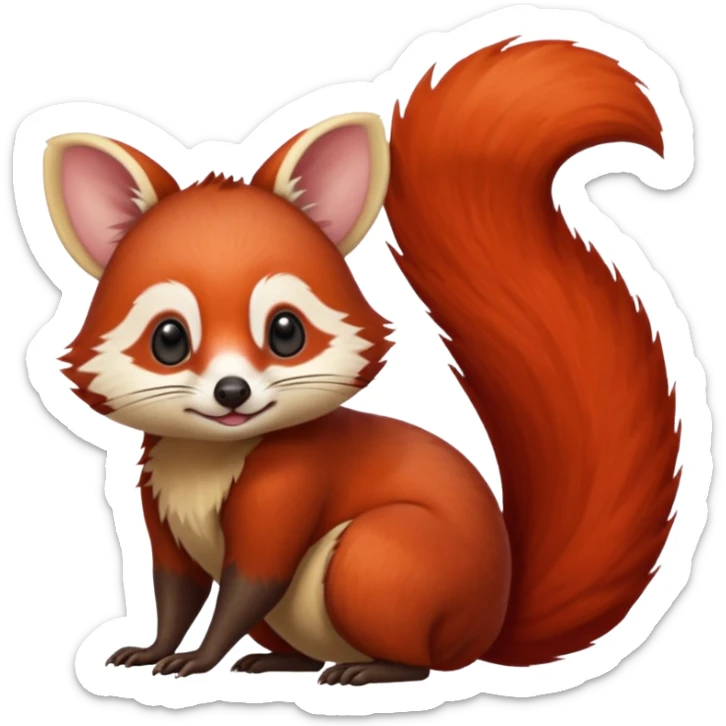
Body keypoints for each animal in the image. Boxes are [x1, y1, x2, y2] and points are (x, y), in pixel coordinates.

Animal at [39, 40, 680, 686]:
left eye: (286, 331)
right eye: (168, 339)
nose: (231, 391)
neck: (206, 465)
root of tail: (490, 627)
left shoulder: (291, 484)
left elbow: (249, 584)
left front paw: (198, 658)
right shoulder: (157, 505)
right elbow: (175, 592)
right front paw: (153, 648)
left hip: (376, 557)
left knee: (420, 661)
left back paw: (375, 671)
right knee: (303, 648)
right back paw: (279, 661)